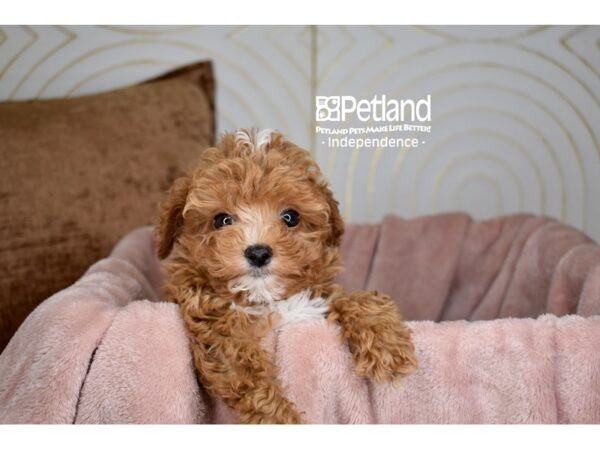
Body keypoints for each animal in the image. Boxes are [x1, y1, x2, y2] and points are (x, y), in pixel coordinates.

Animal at [155, 128, 418, 424]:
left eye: (290, 217)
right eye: (221, 220)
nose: (258, 252)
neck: (266, 298)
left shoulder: (317, 302)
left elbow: (355, 299)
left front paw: (386, 346)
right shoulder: (214, 330)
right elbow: (247, 376)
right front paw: (279, 418)